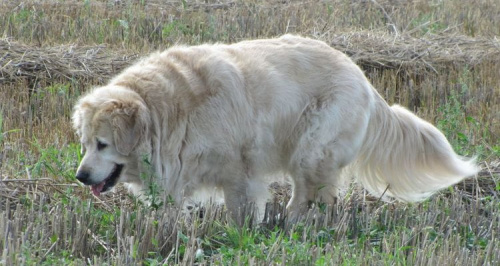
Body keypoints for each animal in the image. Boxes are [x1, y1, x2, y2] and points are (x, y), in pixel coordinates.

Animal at [72, 34, 478, 223]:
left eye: (103, 144)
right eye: (86, 144)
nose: (80, 176)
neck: (167, 112)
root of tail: (361, 76)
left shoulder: (239, 171)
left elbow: (240, 210)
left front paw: (240, 233)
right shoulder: (175, 175)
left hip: (311, 150)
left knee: (314, 196)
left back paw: (297, 225)